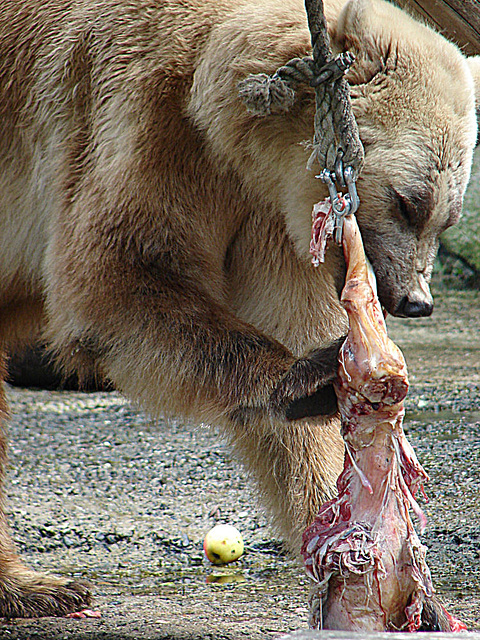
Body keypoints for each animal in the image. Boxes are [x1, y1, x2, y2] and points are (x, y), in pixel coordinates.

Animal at [0, 0, 478, 624]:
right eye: (409, 202)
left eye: (448, 217)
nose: (415, 301)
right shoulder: (141, 124)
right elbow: (118, 276)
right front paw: (309, 377)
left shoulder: (266, 212)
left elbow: (291, 346)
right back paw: (40, 587)